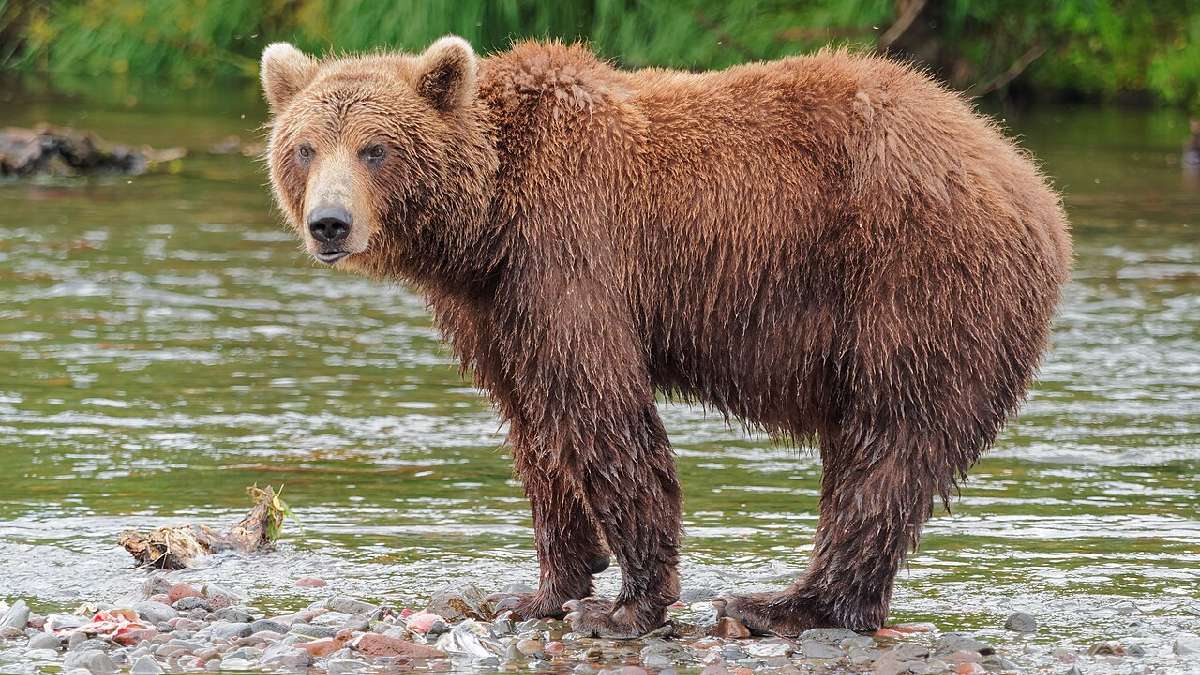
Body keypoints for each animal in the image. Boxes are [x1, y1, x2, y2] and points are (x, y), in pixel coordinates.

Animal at [260, 36, 1071, 638]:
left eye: (374, 148)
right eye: (305, 147)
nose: (329, 223)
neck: (486, 222)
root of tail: (1030, 181)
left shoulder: (569, 251)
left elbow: (600, 409)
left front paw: (626, 604)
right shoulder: (493, 307)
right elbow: (533, 426)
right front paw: (543, 588)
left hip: (914, 283)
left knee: (887, 446)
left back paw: (782, 603)